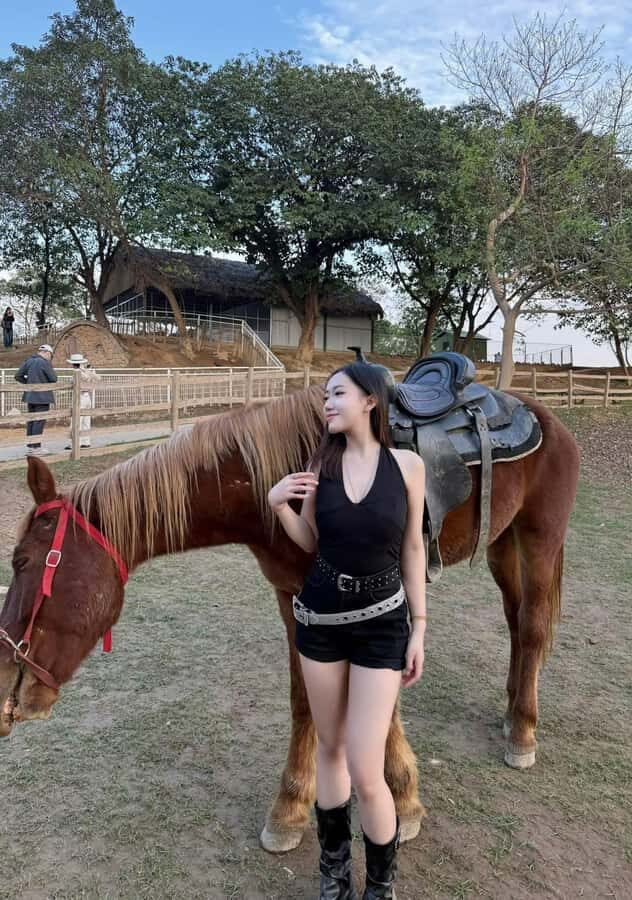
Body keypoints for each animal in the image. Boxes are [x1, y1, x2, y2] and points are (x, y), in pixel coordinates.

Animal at [0, 384, 580, 853]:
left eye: (22, 562)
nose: (9, 683)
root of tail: (541, 413)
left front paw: (402, 801)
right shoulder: (293, 597)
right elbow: (305, 699)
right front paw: (292, 810)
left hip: (540, 537)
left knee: (532, 627)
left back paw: (522, 733)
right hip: (502, 544)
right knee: (516, 622)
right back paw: (511, 708)